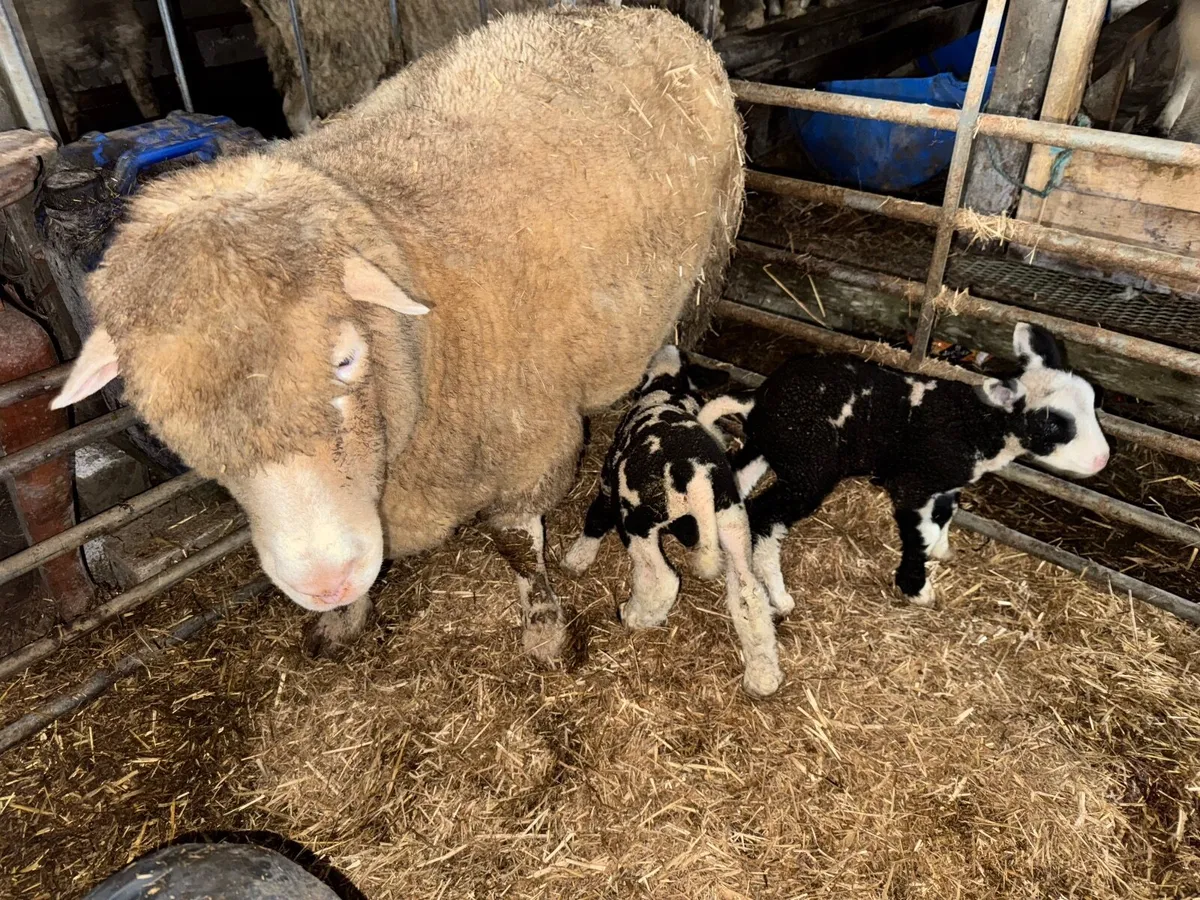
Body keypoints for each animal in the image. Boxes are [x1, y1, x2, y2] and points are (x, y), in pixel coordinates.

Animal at [51, 7, 745, 662]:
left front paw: (545, 630)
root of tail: (640, 15)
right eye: (160, 413)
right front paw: (343, 618)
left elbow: (518, 546)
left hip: (706, 265)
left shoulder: (529, 447)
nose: (324, 580)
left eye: (345, 360)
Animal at [563, 346, 783, 698]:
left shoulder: (609, 481)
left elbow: (596, 517)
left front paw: (576, 558)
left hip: (637, 520)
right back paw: (762, 675)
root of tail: (696, 477)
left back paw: (634, 615)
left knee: (663, 577)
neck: (669, 389)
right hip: (733, 520)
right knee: (750, 592)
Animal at [699, 324, 1110, 612]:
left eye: (1093, 402)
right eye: (1053, 423)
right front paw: (917, 587)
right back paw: (777, 594)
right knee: (765, 518)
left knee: (737, 485)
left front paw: (943, 550)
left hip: (770, 448)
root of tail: (760, 399)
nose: (1102, 458)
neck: (976, 426)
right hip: (809, 469)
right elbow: (919, 534)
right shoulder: (912, 485)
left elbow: (945, 514)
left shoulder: (943, 481)